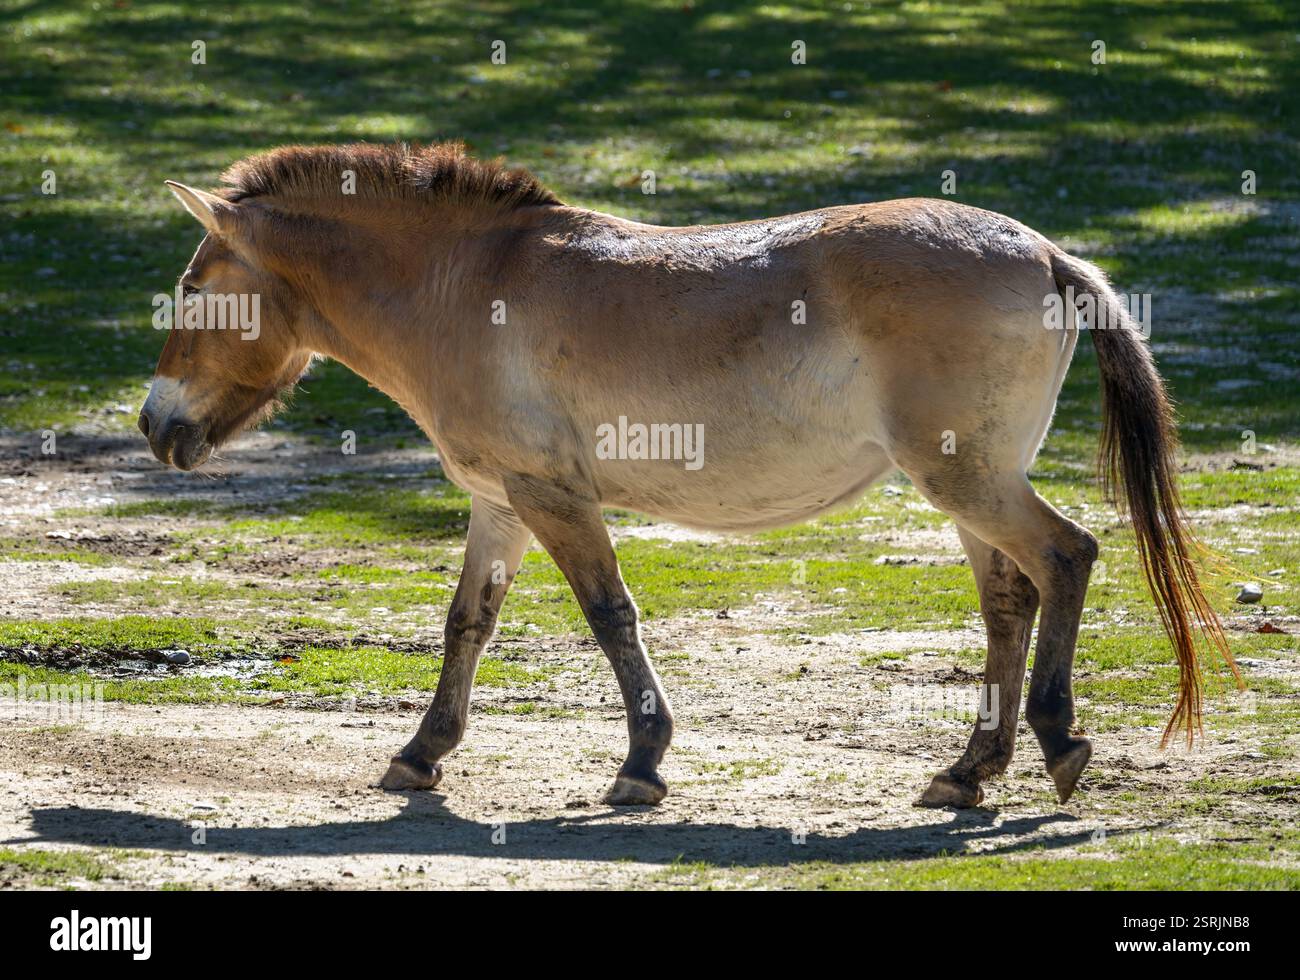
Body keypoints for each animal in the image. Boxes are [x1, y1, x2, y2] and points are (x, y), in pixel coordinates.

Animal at [140, 141, 1230, 809]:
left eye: (193, 287)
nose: (153, 426)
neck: (466, 286)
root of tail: (1044, 252)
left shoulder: (552, 499)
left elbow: (609, 615)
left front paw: (641, 762)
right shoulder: (500, 502)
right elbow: (468, 623)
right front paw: (421, 753)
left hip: (971, 482)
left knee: (1067, 556)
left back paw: (1056, 740)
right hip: (971, 487)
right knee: (1011, 599)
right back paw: (968, 772)